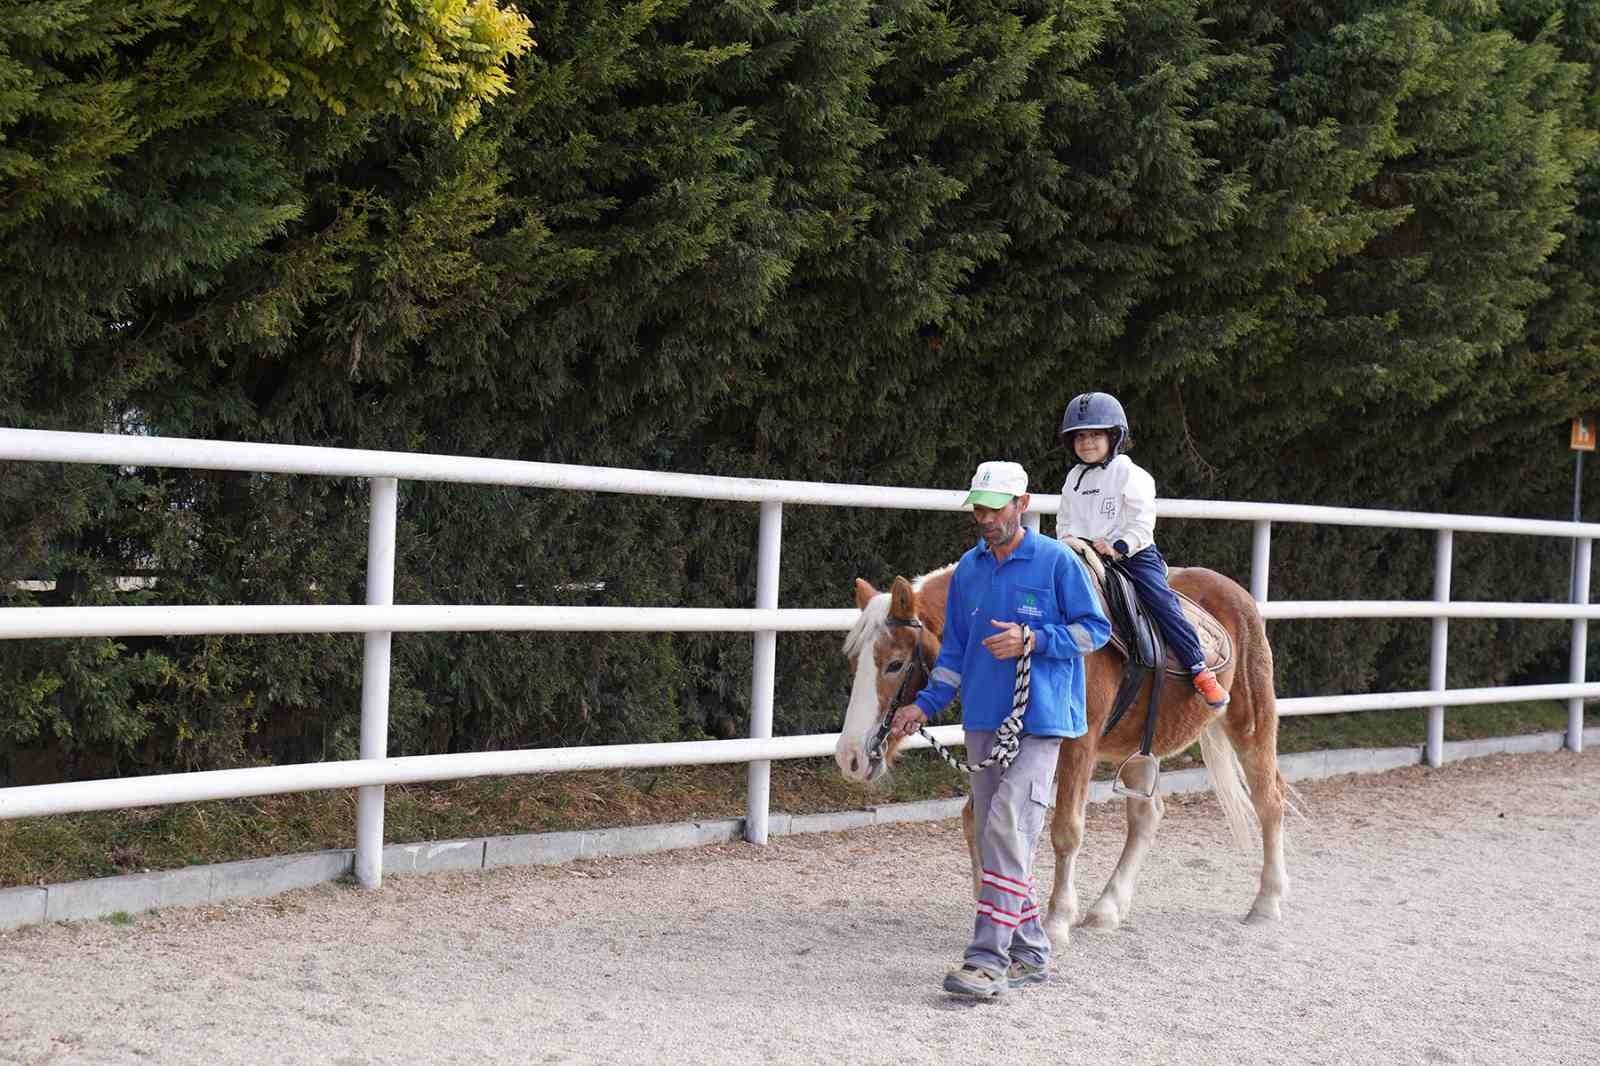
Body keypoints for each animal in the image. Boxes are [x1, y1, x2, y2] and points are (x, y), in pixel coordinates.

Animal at [832, 557, 1292, 941]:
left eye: (894, 663)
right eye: (853, 662)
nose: (850, 757)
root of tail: (1236, 594)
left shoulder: (1078, 746)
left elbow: (1065, 830)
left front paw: (1055, 921)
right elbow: (979, 820)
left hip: (1251, 723)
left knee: (1269, 801)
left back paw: (1267, 902)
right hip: (1142, 749)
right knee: (1147, 817)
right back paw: (1107, 909)